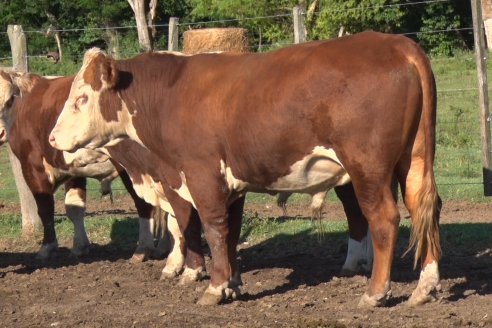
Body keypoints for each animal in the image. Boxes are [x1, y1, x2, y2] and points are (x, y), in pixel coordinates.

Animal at [49, 31, 442, 308]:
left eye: (82, 97)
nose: (52, 138)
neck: (170, 93)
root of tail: (397, 44)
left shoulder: (200, 174)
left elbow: (211, 227)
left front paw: (215, 287)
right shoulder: (231, 183)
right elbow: (231, 231)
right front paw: (233, 285)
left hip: (367, 168)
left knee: (383, 219)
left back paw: (375, 293)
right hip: (414, 159)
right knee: (426, 208)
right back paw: (425, 286)